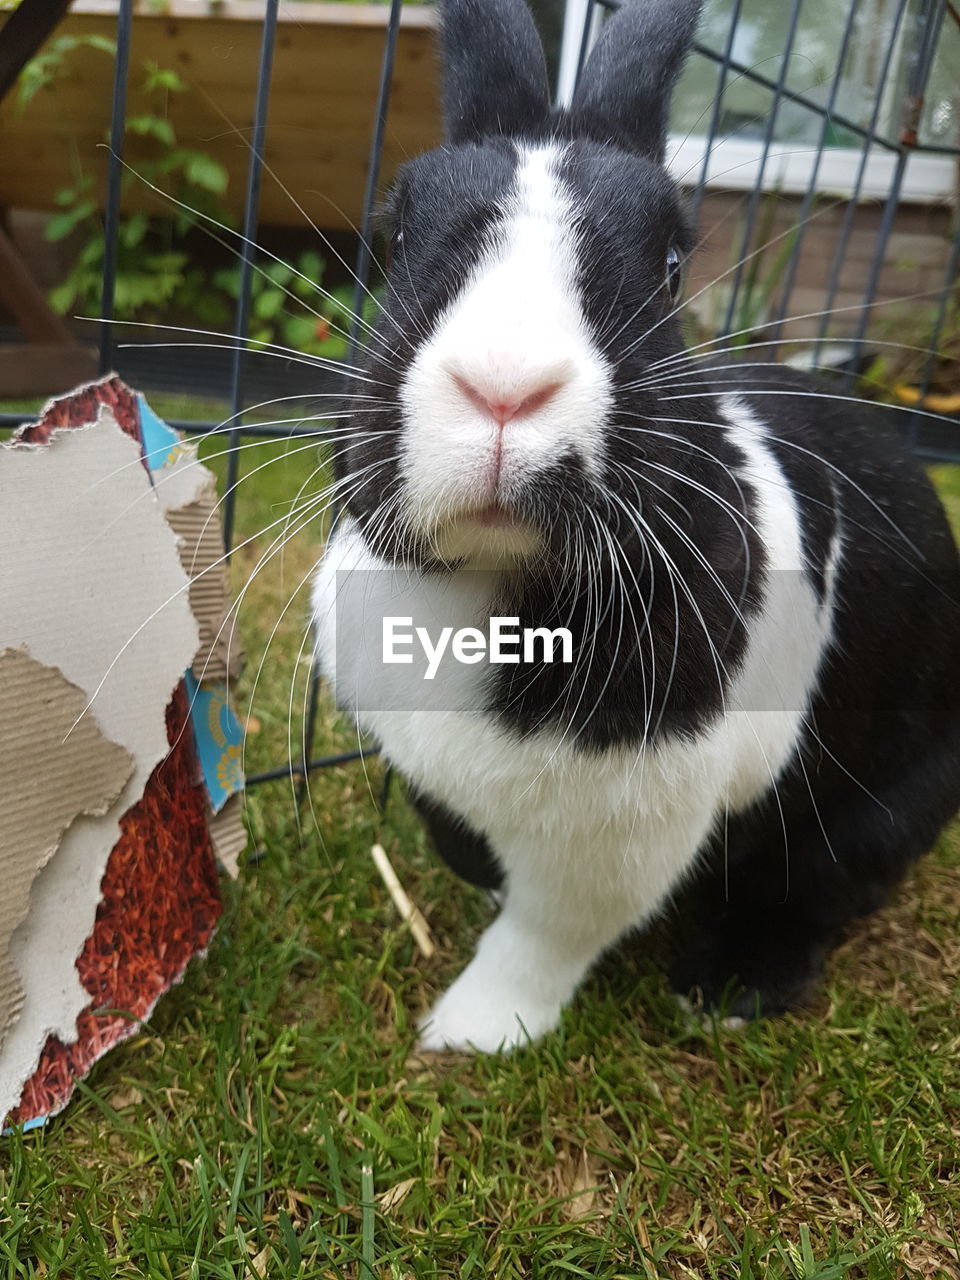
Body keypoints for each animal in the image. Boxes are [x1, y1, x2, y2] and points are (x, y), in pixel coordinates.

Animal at [312, 0, 957, 1049]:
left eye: (669, 263)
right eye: (398, 234)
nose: (504, 386)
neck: (490, 587)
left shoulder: (617, 842)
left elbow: (542, 938)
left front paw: (469, 1035)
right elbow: (464, 850)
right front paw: (480, 891)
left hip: (878, 812)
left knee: (815, 893)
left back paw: (732, 988)